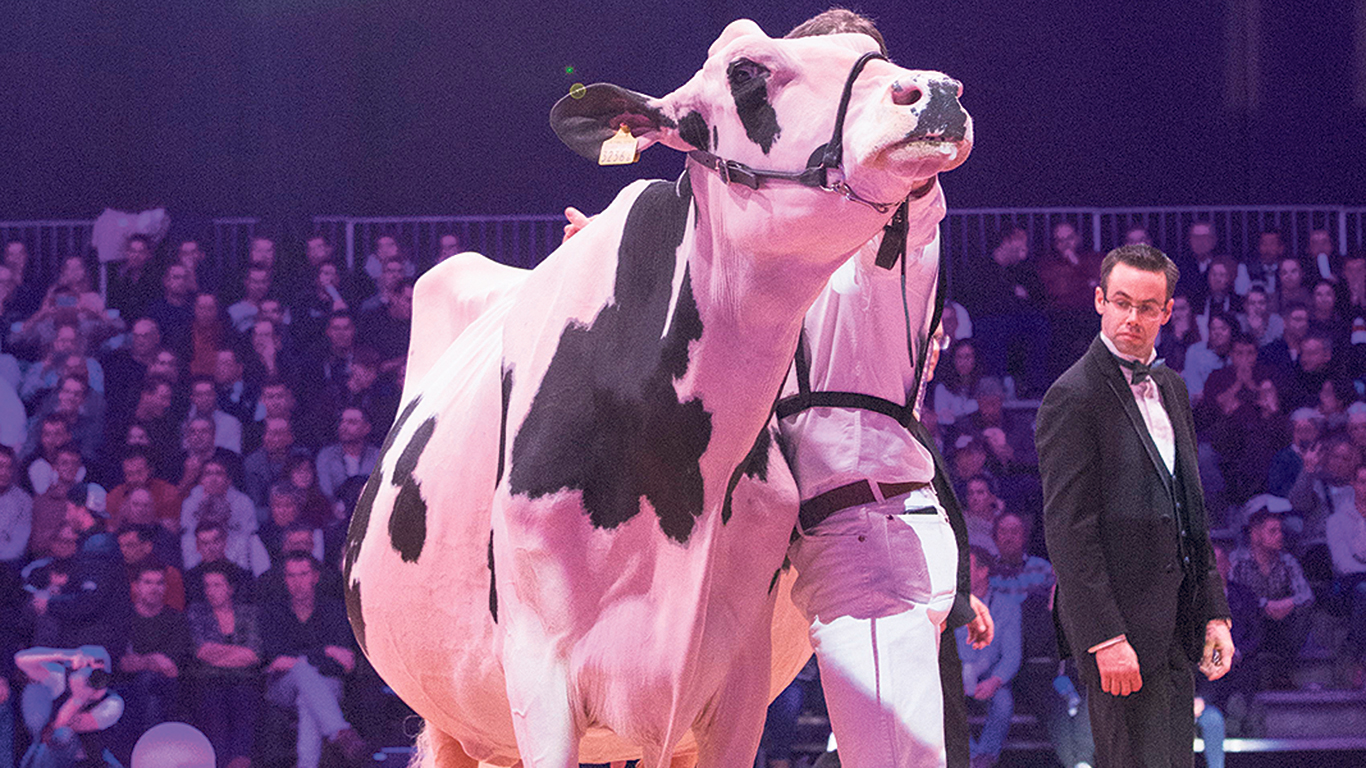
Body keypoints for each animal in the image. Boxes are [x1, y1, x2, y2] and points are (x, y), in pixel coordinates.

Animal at [346, 17, 978, 765]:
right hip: (453, 718)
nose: (934, 91)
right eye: (747, 71)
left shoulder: (736, 679)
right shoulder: (537, 671)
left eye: (867, 54)